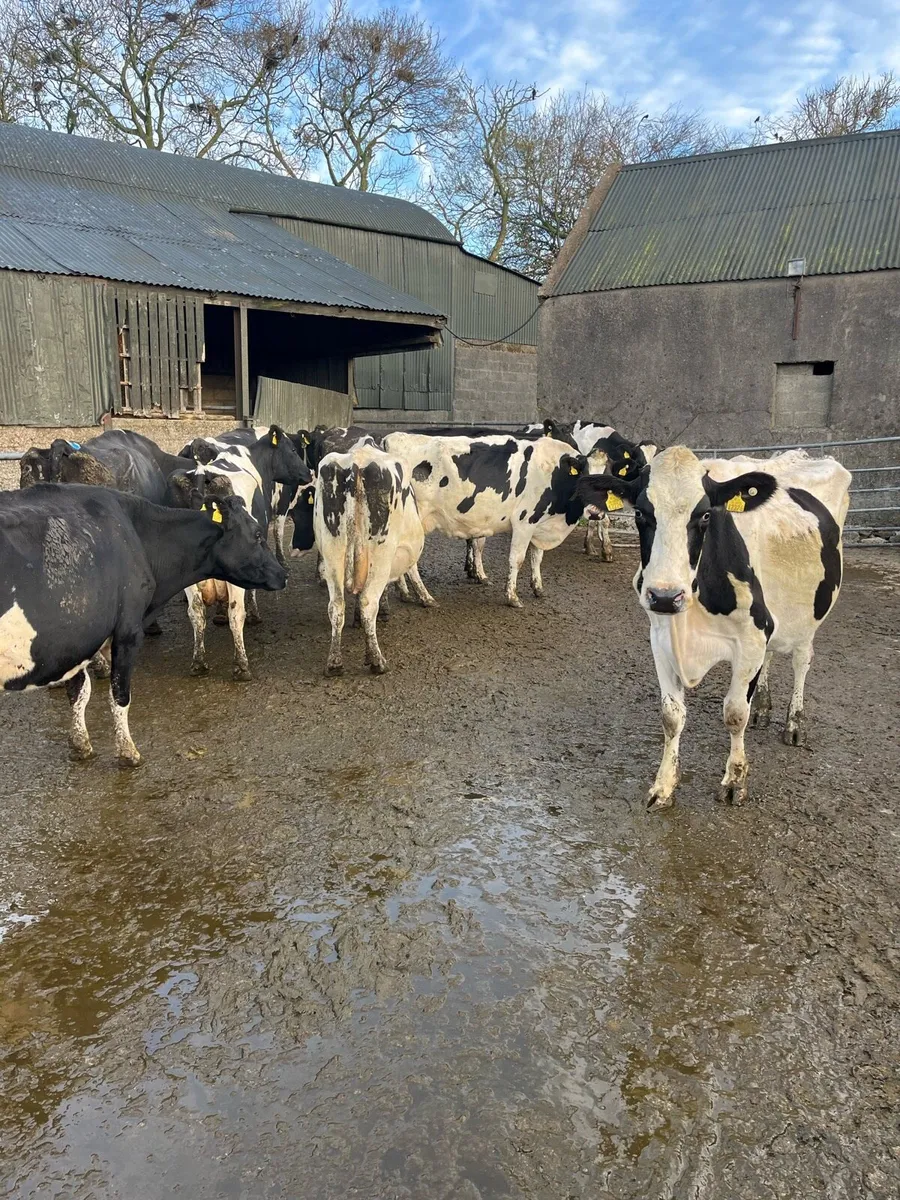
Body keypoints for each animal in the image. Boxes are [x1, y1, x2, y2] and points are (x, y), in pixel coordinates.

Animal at [0, 486, 285, 766]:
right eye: (257, 534)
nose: (283, 574)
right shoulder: (128, 630)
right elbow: (119, 694)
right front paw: (128, 752)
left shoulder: (77, 640)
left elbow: (79, 692)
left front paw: (81, 745)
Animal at [167, 426, 304, 680]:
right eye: (292, 450)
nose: (308, 474)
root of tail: (202, 474)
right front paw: (254, 615)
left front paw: (219, 613)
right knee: (235, 613)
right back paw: (242, 665)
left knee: (196, 612)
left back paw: (199, 663)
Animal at [289, 445, 434, 676]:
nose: (293, 547)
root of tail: (357, 462)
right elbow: (410, 572)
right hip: (381, 557)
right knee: (368, 603)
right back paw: (377, 661)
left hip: (333, 554)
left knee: (336, 606)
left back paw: (335, 662)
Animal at [382, 432, 588, 607]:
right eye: (587, 477)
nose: (595, 512)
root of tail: (392, 438)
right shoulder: (524, 522)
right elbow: (517, 559)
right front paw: (512, 597)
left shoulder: (539, 522)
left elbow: (536, 558)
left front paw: (538, 588)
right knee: (411, 563)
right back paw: (425, 597)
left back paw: (405, 593)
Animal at [577, 447, 851, 810]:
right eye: (639, 512)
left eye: (706, 515)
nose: (665, 595)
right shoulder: (660, 637)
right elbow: (671, 715)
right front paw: (664, 786)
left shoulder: (751, 636)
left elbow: (734, 713)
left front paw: (735, 781)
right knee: (772, 657)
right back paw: (762, 707)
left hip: (810, 612)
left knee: (801, 660)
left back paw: (795, 723)